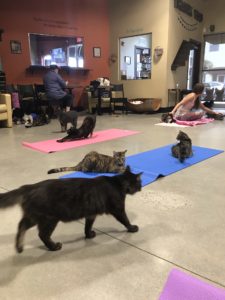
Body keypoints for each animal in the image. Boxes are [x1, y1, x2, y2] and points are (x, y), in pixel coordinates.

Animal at [0, 165, 142, 252]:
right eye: (139, 183)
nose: (141, 188)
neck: (117, 182)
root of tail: (30, 186)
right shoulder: (118, 209)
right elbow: (125, 220)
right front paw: (132, 228)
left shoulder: (91, 214)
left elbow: (87, 226)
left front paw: (88, 235)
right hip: (49, 219)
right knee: (42, 234)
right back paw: (53, 247)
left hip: (34, 217)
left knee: (21, 225)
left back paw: (19, 247)